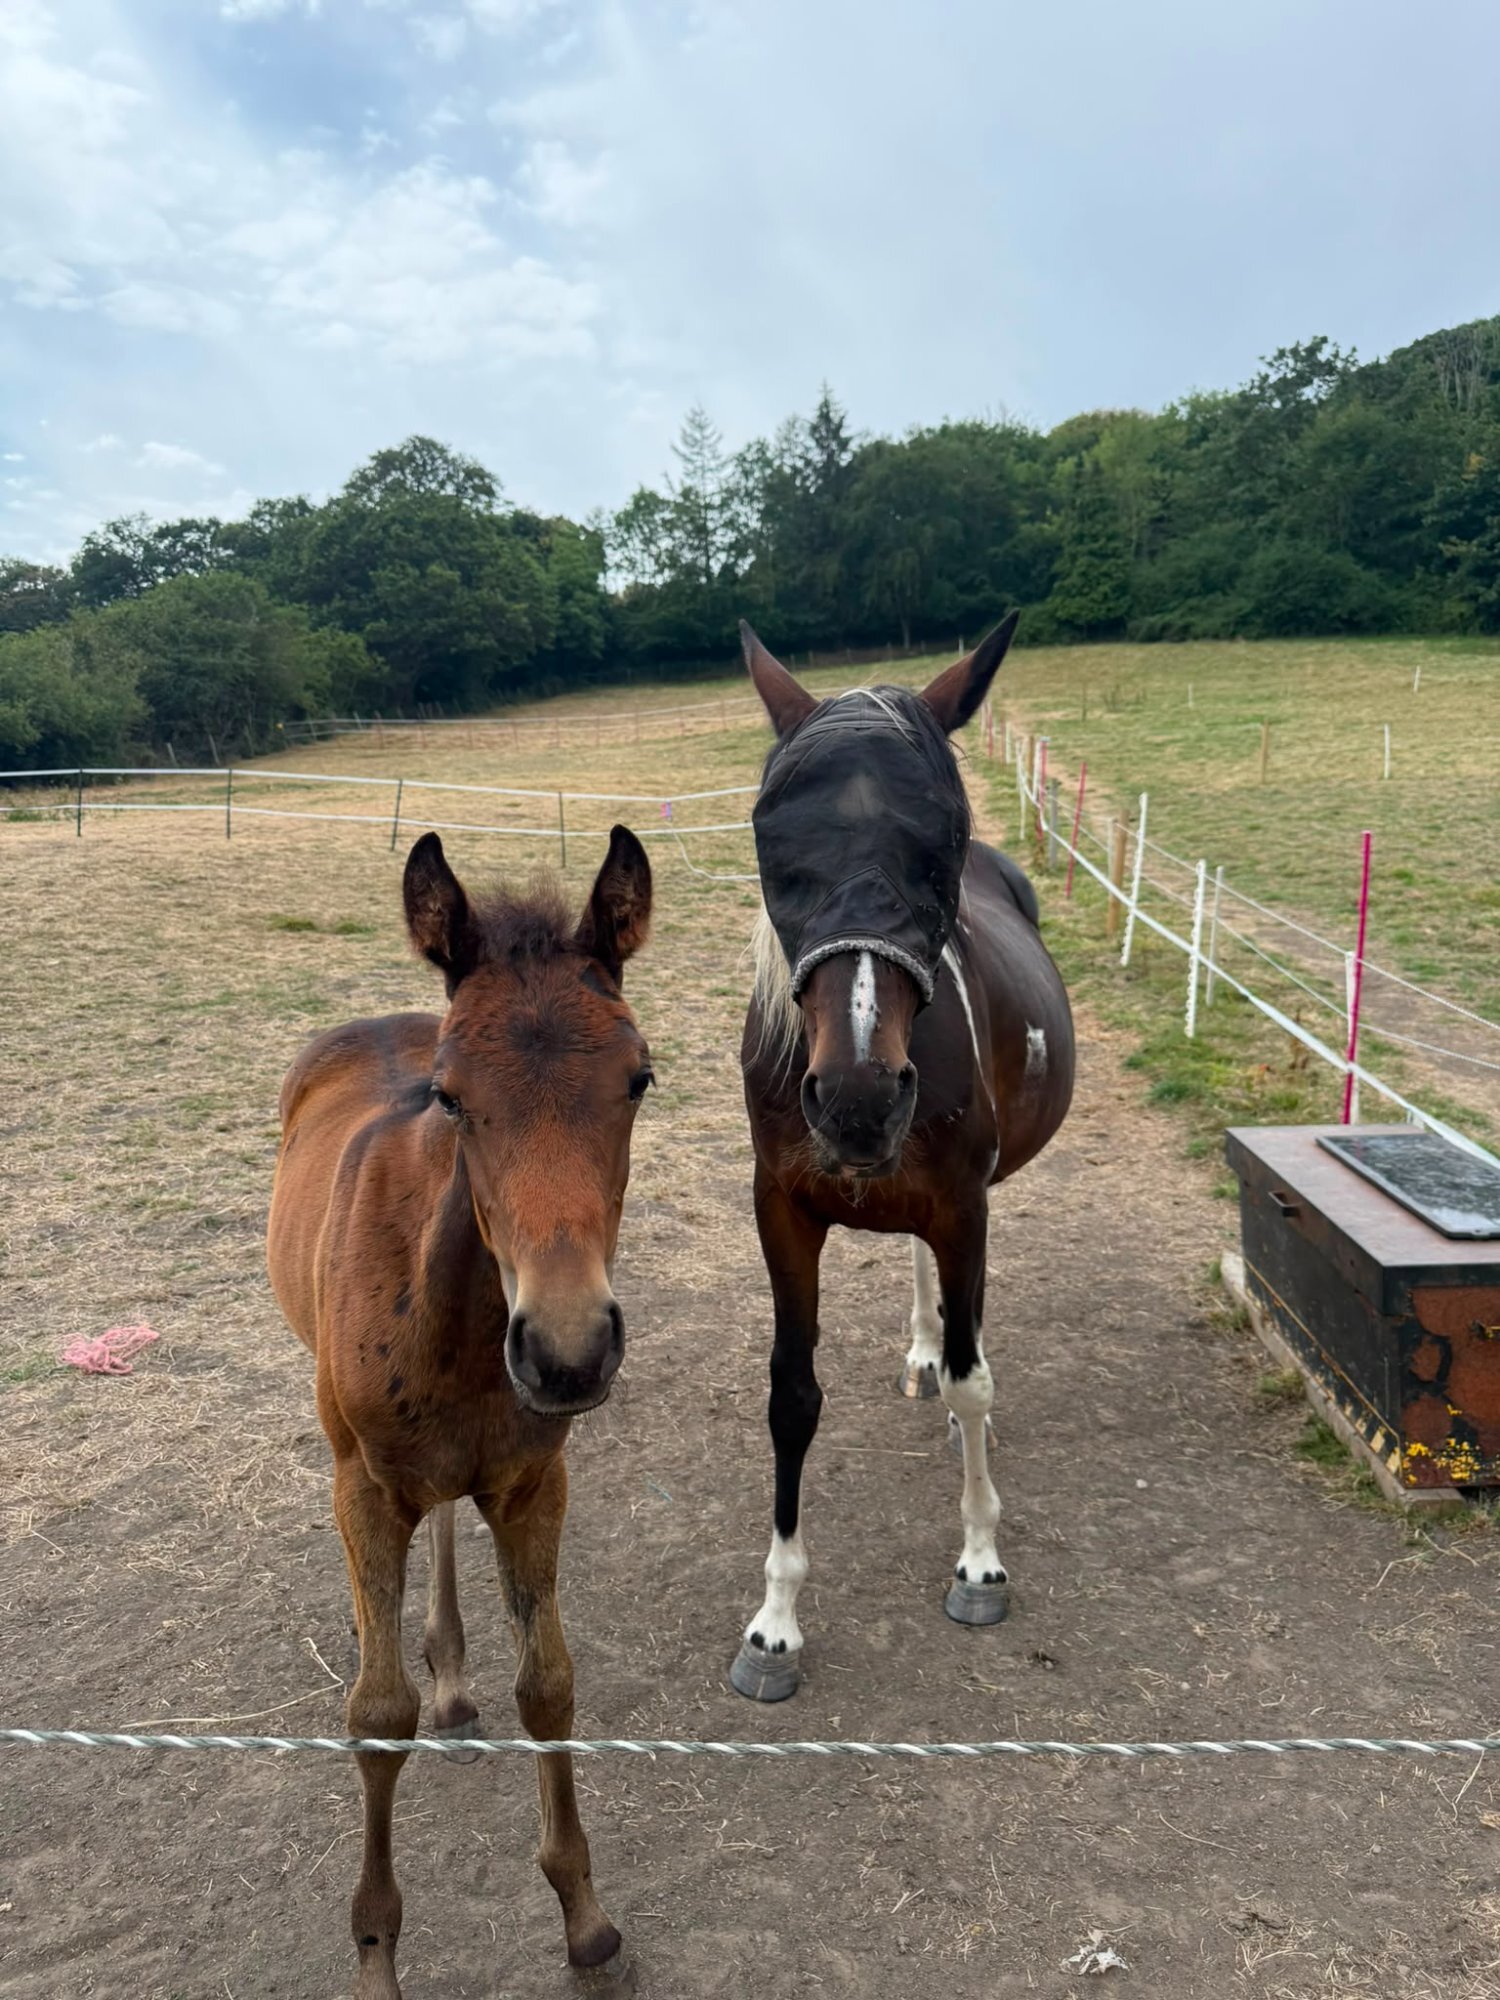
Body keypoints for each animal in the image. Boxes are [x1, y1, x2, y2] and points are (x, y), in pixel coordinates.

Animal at [267, 826, 653, 1997]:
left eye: (639, 1078)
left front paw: (584, 1915)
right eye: (448, 1094)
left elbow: (550, 1687)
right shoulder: (362, 1483)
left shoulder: (534, 1482)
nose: (567, 1349)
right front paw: (376, 1952)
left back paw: (449, 1665)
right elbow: (375, 1716)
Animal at [729, 616, 1075, 1702]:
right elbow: (791, 1396)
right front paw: (776, 1621)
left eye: (943, 843)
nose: (857, 1101)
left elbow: (973, 1383)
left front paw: (979, 1563)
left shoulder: (965, 1205)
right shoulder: (783, 1211)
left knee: (969, 1340)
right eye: (772, 842)